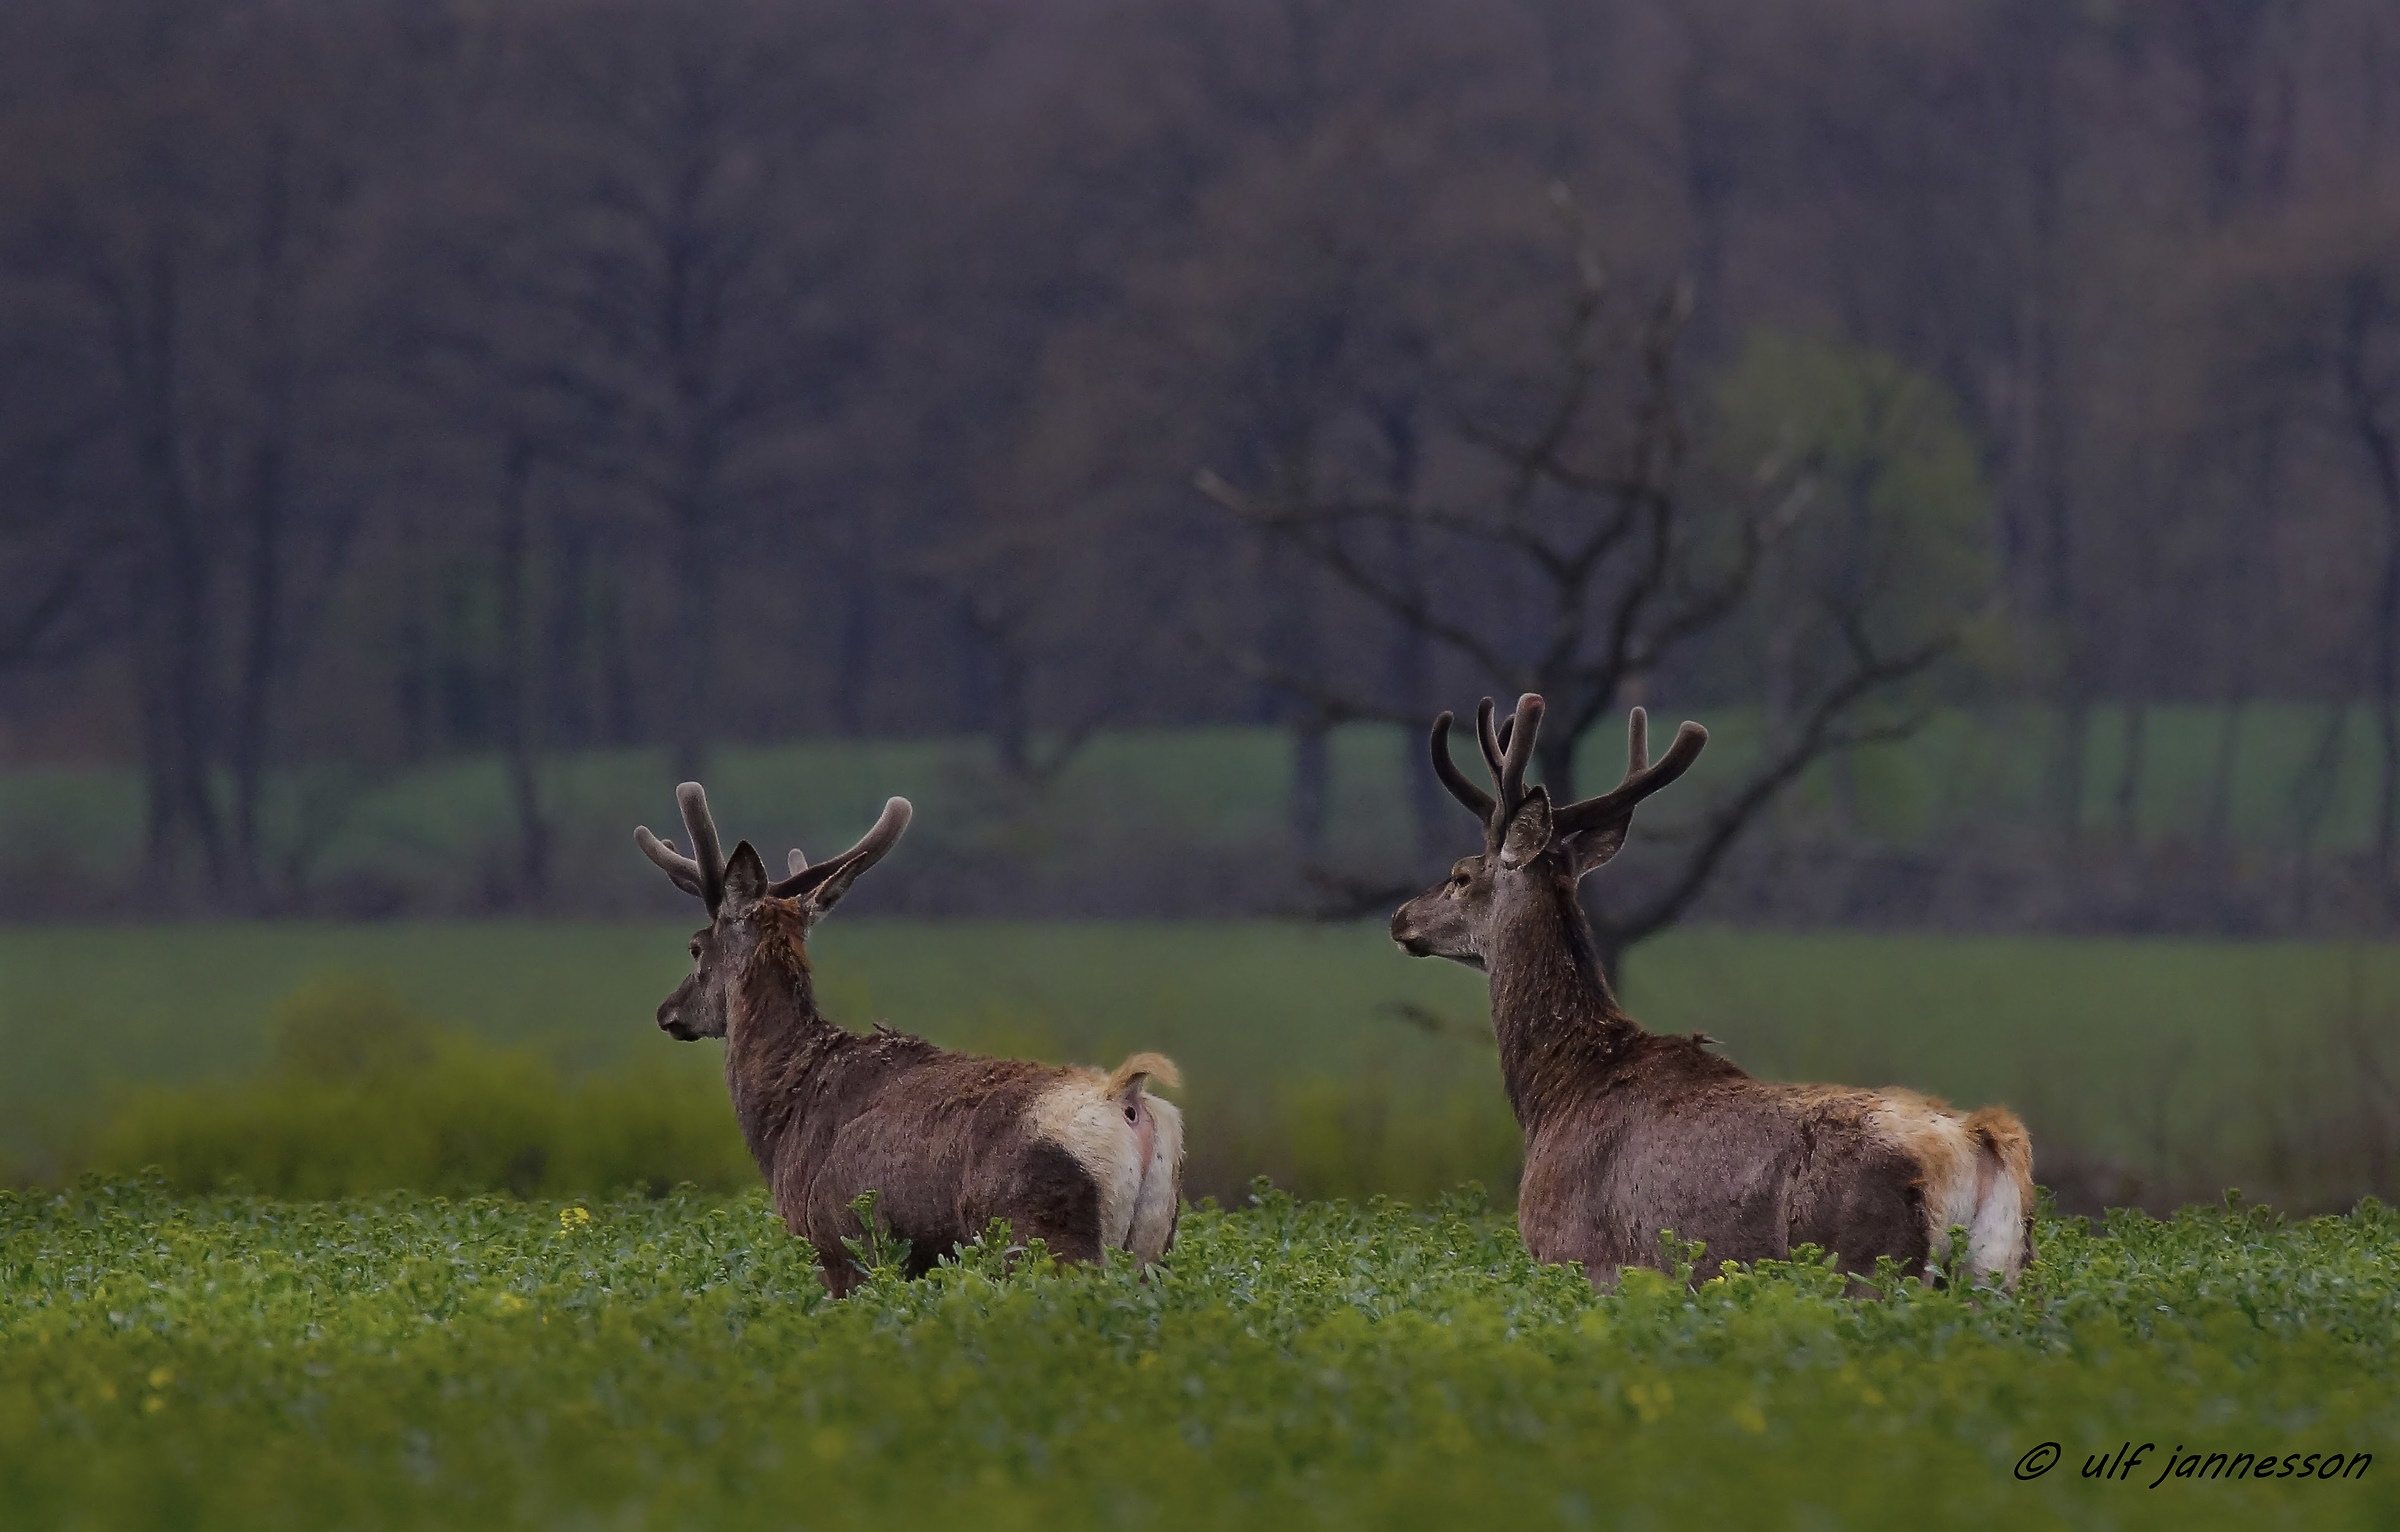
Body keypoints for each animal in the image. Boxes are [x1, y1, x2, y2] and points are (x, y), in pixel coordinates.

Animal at [635, 783, 1183, 1296]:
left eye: (695, 947)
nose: (668, 1012)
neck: (784, 1118)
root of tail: (1128, 1099)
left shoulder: (838, 1245)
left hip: (1046, 1240)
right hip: (1153, 1246)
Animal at [1388, 693, 2034, 1289]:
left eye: (1460, 876)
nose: (1401, 918)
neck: (1555, 1095)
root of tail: (1983, 1146)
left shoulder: (1578, 1257)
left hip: (1870, 1263)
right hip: (1994, 1273)